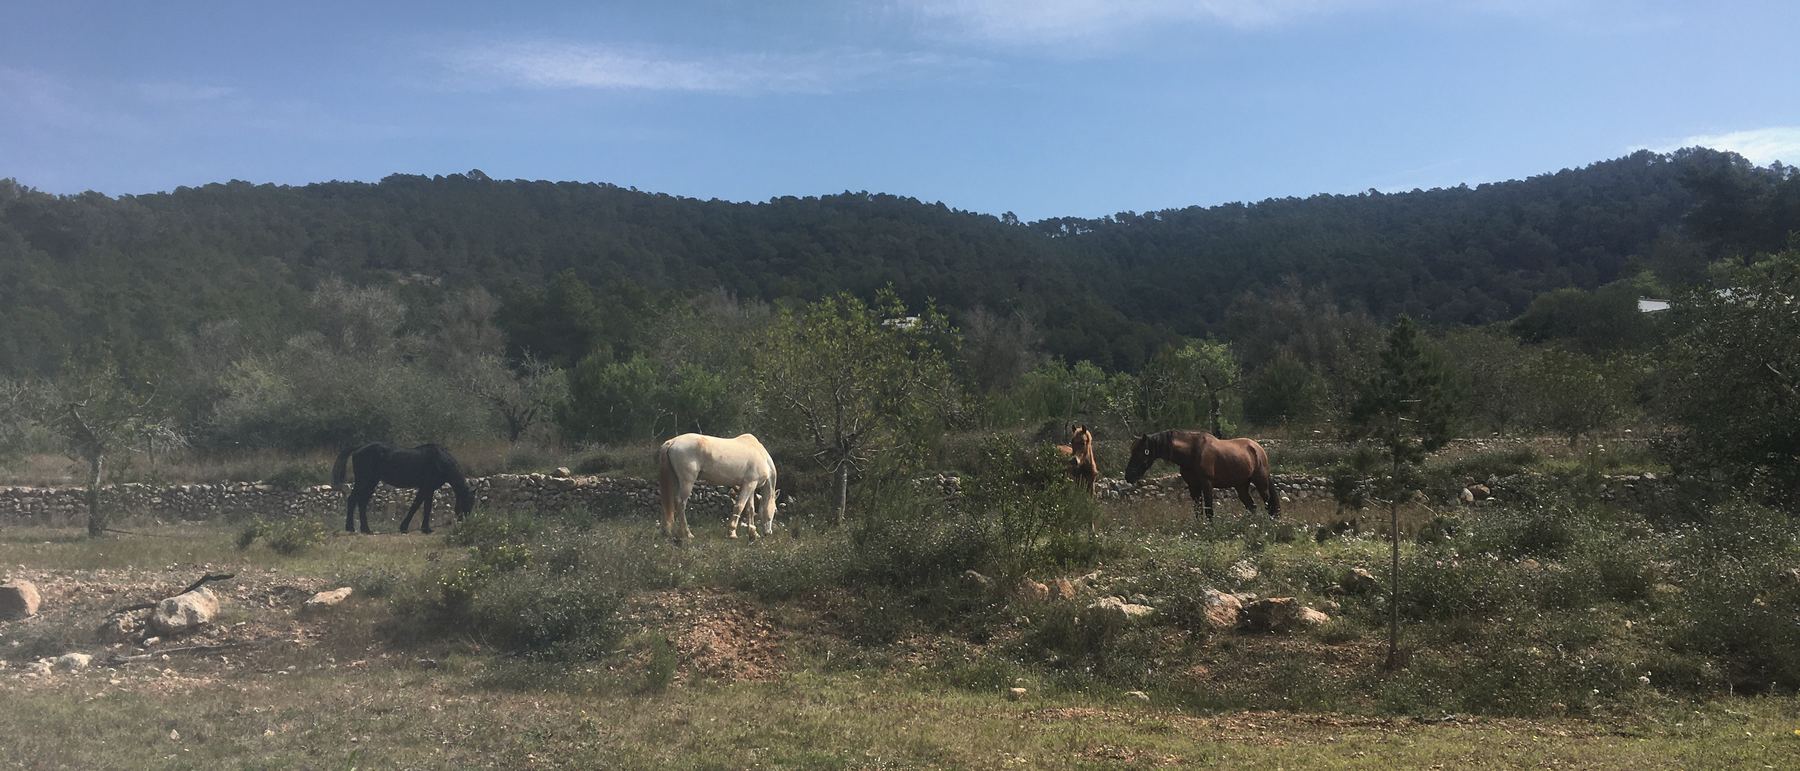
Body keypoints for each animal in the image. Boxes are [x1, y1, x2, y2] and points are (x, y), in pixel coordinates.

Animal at [331, 442, 474, 535]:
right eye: (468, 502)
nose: (465, 520)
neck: (440, 460)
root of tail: (358, 448)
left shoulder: (429, 489)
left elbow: (425, 507)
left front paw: (424, 528)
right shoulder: (426, 487)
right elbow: (417, 505)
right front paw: (407, 528)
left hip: (371, 482)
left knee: (361, 502)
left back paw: (366, 529)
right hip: (364, 481)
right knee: (353, 499)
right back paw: (351, 528)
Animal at [1123, 430, 1278, 522]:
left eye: (1142, 452)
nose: (1128, 476)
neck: (1192, 452)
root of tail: (1258, 448)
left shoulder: (1207, 484)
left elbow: (1209, 510)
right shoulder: (1193, 486)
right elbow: (1197, 510)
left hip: (1260, 481)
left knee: (1268, 503)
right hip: (1241, 486)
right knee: (1252, 506)